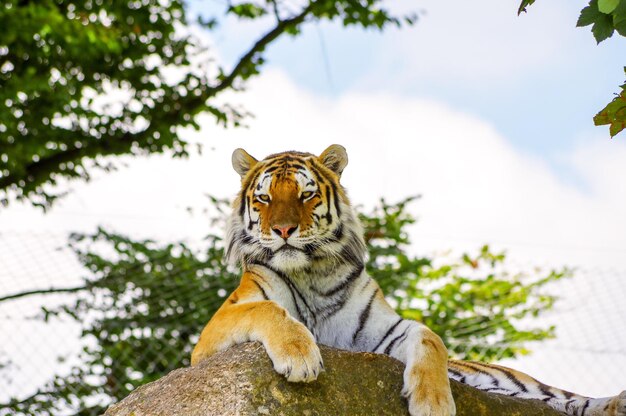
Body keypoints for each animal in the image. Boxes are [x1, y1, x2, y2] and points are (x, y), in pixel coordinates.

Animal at [190, 145, 624, 416]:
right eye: (263, 198)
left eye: (306, 195)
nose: (282, 230)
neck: (312, 272)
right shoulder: (210, 338)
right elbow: (268, 309)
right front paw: (300, 356)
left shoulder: (382, 332)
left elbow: (430, 338)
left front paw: (433, 401)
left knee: (566, 397)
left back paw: (614, 402)